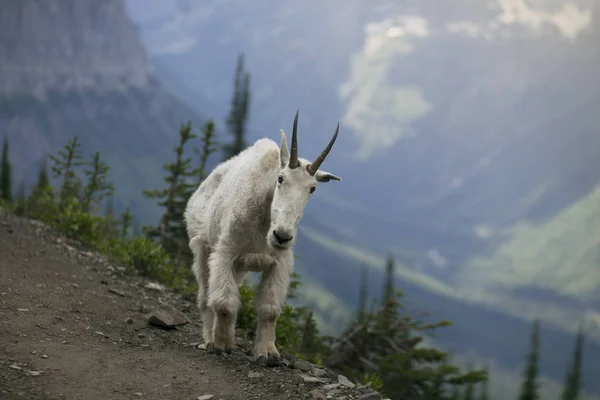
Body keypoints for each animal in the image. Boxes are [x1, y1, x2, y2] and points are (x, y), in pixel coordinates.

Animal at [183, 111, 342, 368]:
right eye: (281, 178)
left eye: (312, 188)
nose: (282, 236)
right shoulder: (224, 253)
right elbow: (225, 303)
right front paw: (223, 344)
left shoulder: (279, 262)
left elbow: (269, 310)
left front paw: (267, 354)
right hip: (202, 249)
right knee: (205, 296)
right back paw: (209, 339)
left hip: (239, 268)